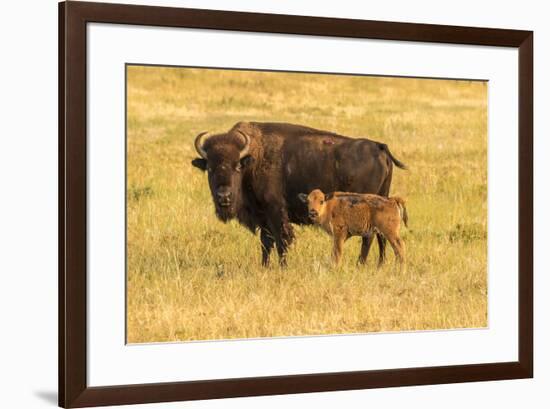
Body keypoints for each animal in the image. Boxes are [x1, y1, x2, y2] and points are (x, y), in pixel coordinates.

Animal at [192, 120, 408, 264]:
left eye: (237, 166)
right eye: (210, 168)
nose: (224, 196)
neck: (253, 159)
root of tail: (379, 147)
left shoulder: (276, 212)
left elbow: (281, 240)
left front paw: (283, 267)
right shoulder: (263, 216)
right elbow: (266, 242)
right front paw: (265, 266)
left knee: (369, 237)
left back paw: (361, 264)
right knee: (381, 236)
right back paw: (379, 265)